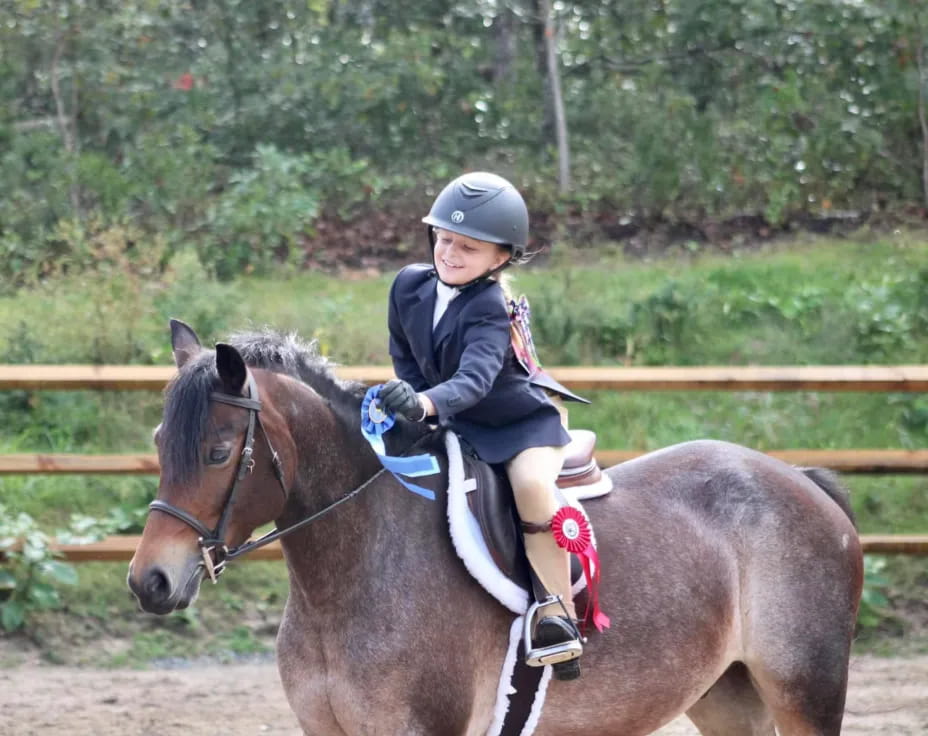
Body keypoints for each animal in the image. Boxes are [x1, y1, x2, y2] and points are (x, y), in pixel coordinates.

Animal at [129, 322, 864, 736]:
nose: (149, 582)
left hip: (805, 688)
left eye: (219, 452)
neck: (348, 573)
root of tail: (798, 479)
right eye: (160, 442)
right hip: (725, 695)